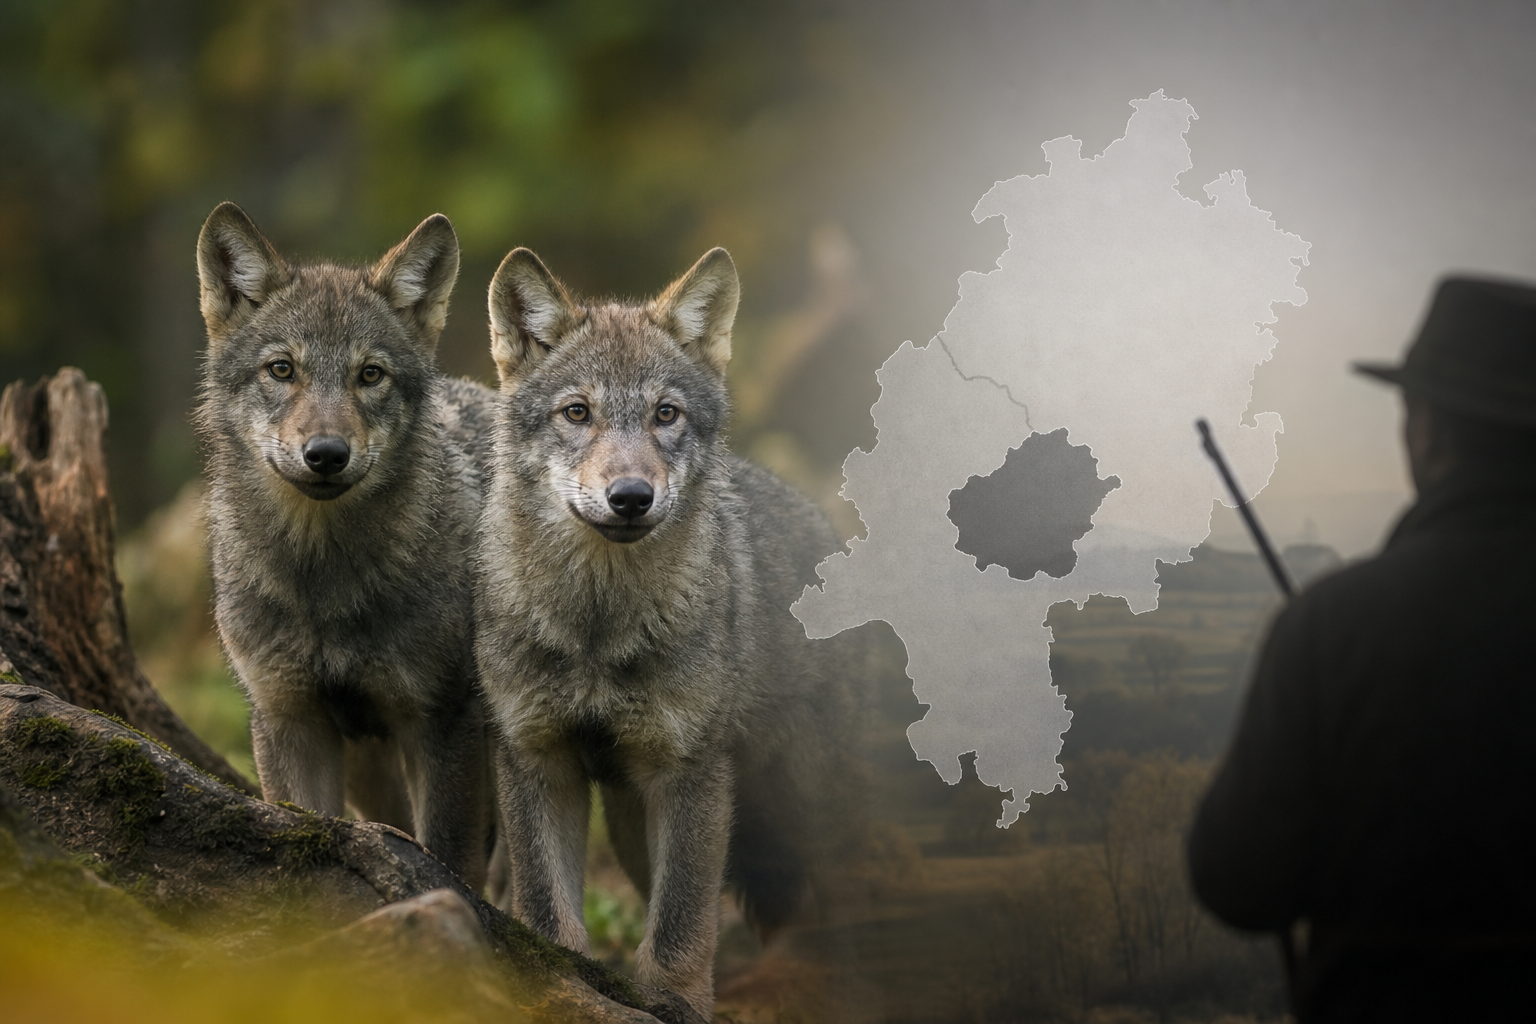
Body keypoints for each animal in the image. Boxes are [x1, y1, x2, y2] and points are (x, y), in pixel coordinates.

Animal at [195, 202, 496, 886]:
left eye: (370, 375)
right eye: (282, 369)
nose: (327, 454)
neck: (322, 580)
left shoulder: (441, 722)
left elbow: (450, 859)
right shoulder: (290, 721)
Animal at [475, 245, 866, 1013]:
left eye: (665, 414)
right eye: (577, 412)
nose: (631, 496)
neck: (596, 628)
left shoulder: (688, 772)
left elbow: (680, 929)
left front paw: (675, 1006)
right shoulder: (538, 760)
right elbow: (551, 916)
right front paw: (565, 988)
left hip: (799, 801)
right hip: (635, 823)